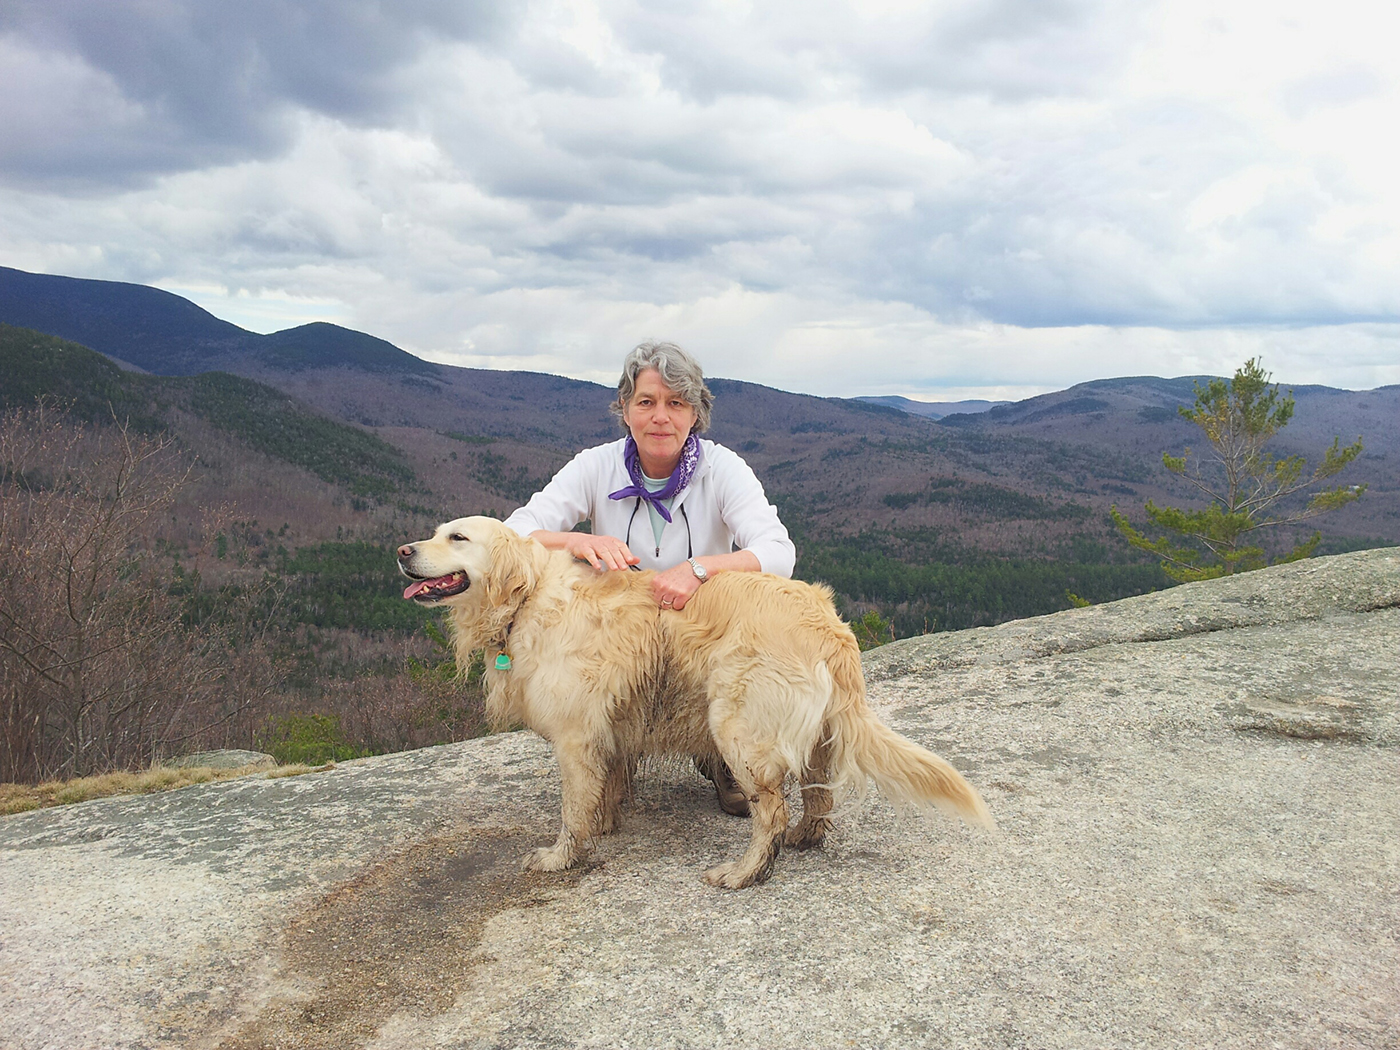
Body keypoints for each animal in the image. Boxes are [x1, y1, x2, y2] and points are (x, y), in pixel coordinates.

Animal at [400, 515, 991, 890]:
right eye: (433, 532)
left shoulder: (575, 738)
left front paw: (561, 857)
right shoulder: (605, 732)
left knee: (771, 811)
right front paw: (606, 825)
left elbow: (572, 811)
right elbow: (603, 792)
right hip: (812, 732)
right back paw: (805, 837)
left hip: (737, 727)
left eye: (458, 536)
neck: (527, 599)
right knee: (818, 795)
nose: (403, 551)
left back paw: (745, 873)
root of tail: (829, 625)